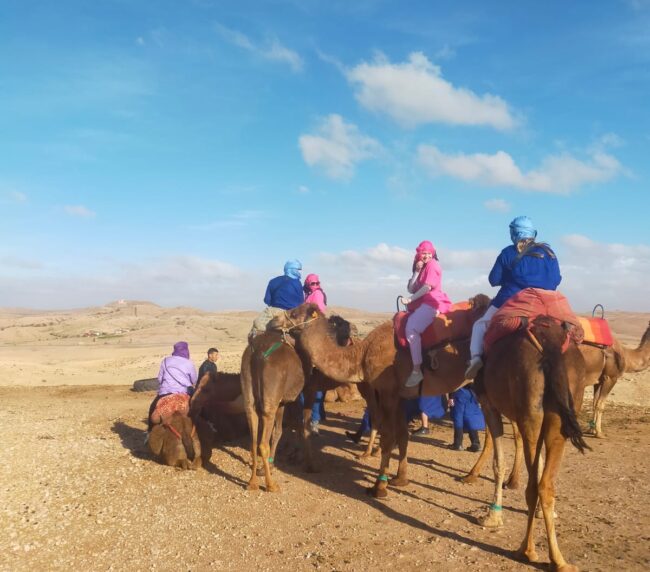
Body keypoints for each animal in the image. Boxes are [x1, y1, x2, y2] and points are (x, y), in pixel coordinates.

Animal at [266, 298, 488, 498]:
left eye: (295, 312)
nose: (272, 322)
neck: (361, 353)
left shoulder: (387, 390)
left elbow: (388, 436)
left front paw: (379, 487)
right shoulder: (399, 395)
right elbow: (402, 434)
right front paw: (400, 479)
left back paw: (473, 478)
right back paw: (474, 476)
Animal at [476, 318, 588, 572]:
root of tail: (551, 345)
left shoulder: (488, 404)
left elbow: (499, 463)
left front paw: (492, 516)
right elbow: (539, 467)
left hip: (530, 408)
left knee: (533, 488)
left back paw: (526, 550)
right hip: (560, 413)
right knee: (545, 484)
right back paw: (559, 561)